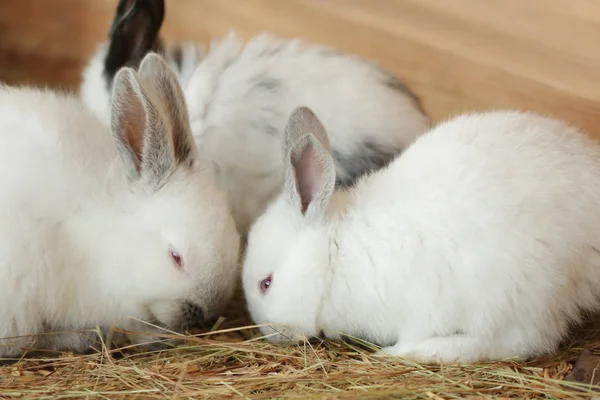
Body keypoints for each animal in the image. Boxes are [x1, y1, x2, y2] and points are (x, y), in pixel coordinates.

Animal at [241, 106, 600, 366]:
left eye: (266, 283)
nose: (272, 335)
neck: (334, 254)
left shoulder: (419, 309)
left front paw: (397, 352)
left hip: (517, 293)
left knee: (521, 343)